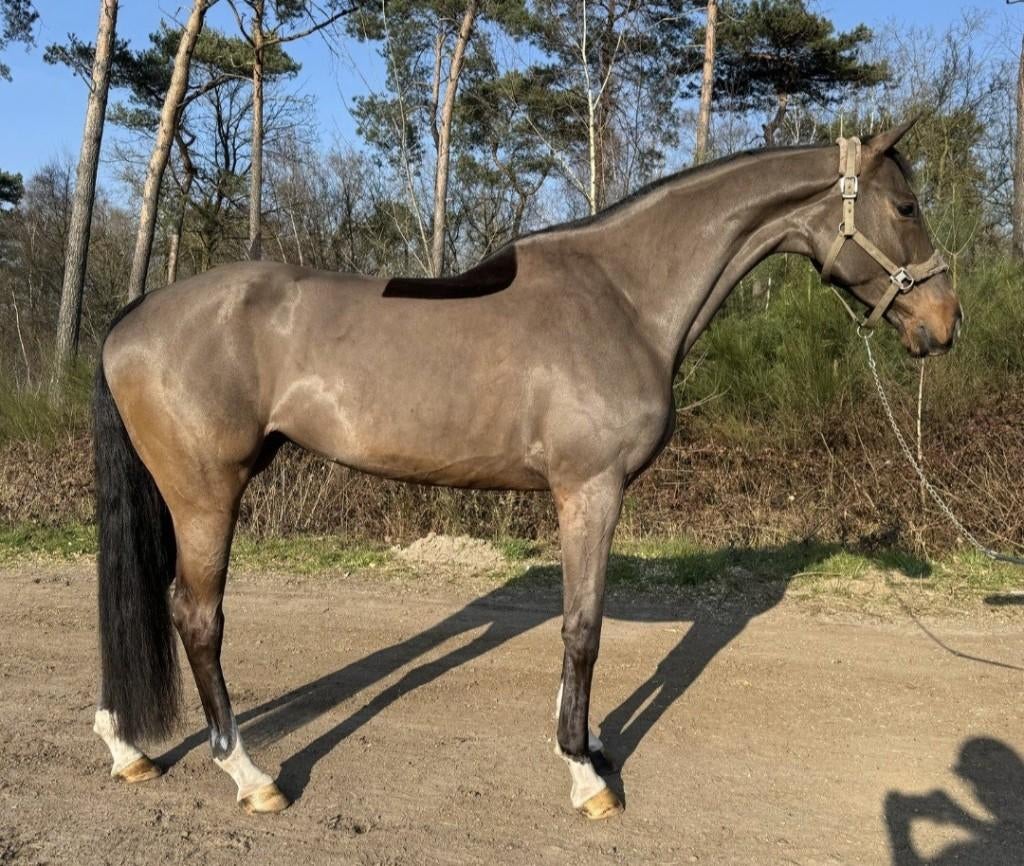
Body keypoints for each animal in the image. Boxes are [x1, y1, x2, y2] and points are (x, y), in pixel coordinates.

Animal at [91, 119, 961, 820]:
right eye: (906, 207)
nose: (946, 323)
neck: (624, 298)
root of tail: (133, 315)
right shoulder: (590, 492)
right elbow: (584, 629)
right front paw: (587, 776)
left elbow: (579, 625)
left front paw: (585, 744)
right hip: (207, 494)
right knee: (197, 616)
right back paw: (249, 774)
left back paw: (128, 746)